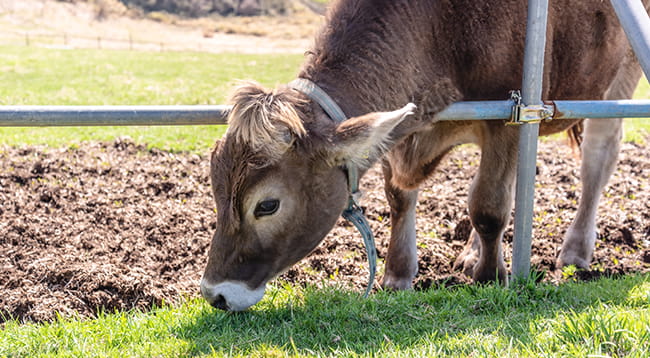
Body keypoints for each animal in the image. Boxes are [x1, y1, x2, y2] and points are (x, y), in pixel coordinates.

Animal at [199, 0, 644, 310]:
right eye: (215, 190)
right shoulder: (400, 125)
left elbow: (488, 206)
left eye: (267, 205)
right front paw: (399, 273)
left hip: (619, 77)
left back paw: (575, 251)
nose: (215, 293)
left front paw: (490, 277)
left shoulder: (508, 116)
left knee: (597, 161)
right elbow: (399, 197)